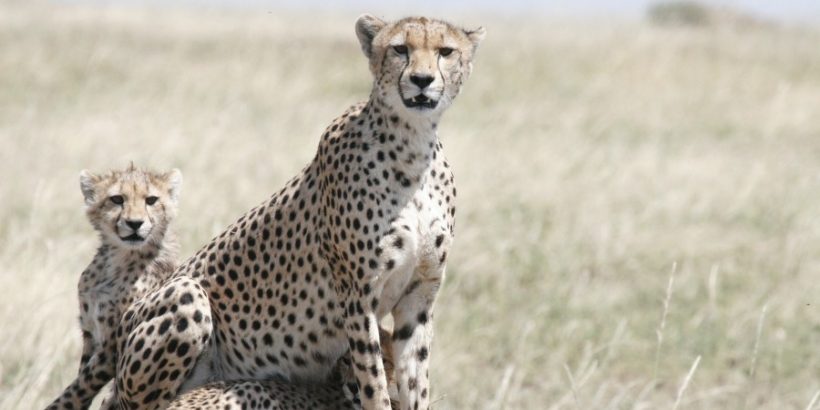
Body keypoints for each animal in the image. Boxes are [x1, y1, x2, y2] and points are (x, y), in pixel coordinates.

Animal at [47, 165, 185, 408]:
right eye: (117, 199)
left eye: (151, 200)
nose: (135, 223)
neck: (118, 259)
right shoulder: (90, 333)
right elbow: (81, 380)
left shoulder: (113, 344)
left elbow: (80, 386)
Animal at [111, 13, 486, 410]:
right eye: (400, 49)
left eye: (445, 51)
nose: (422, 79)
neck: (412, 146)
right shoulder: (357, 298)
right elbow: (374, 384)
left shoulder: (418, 298)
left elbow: (415, 382)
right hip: (186, 295)